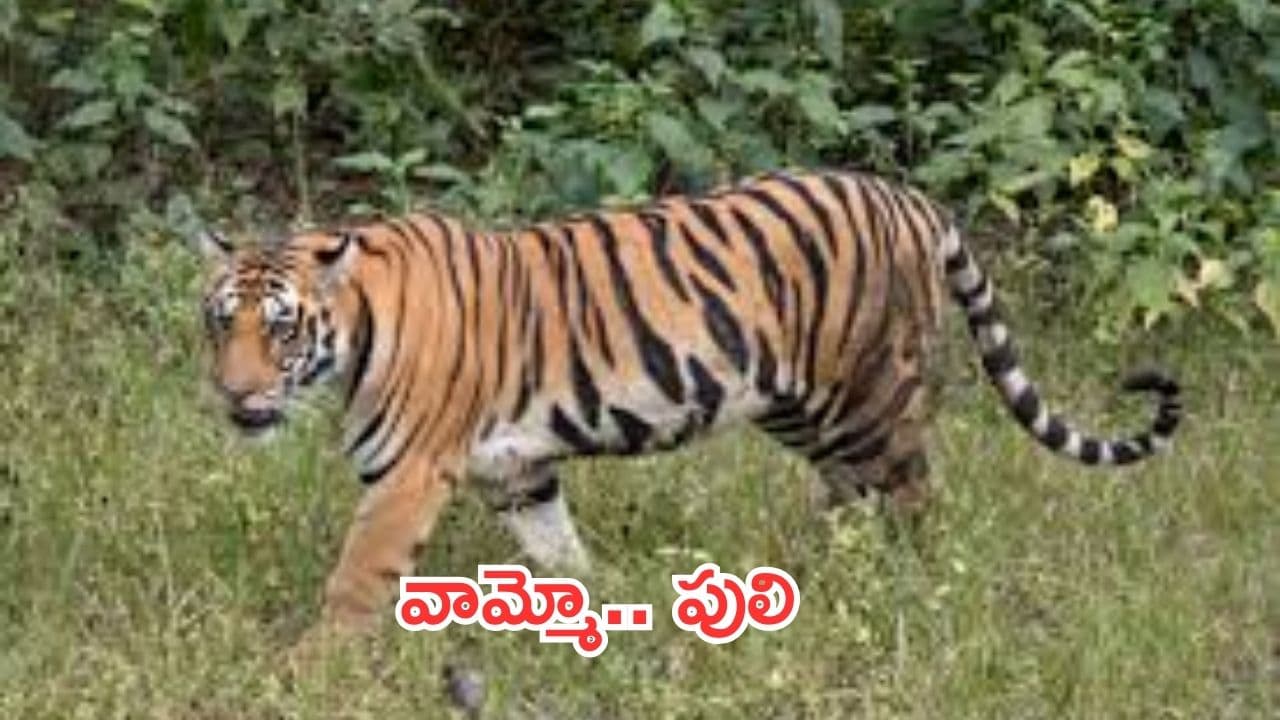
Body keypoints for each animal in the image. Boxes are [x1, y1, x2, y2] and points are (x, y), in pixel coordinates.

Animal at [194, 169, 1181, 636]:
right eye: (218, 322)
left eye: (281, 329)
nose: (235, 395)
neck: (353, 335)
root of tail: (910, 197)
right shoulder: (519, 471)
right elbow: (558, 553)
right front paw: (596, 615)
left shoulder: (407, 475)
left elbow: (355, 579)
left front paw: (312, 671)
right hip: (801, 406)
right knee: (851, 493)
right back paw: (817, 575)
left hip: (870, 394)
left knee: (914, 495)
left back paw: (913, 585)